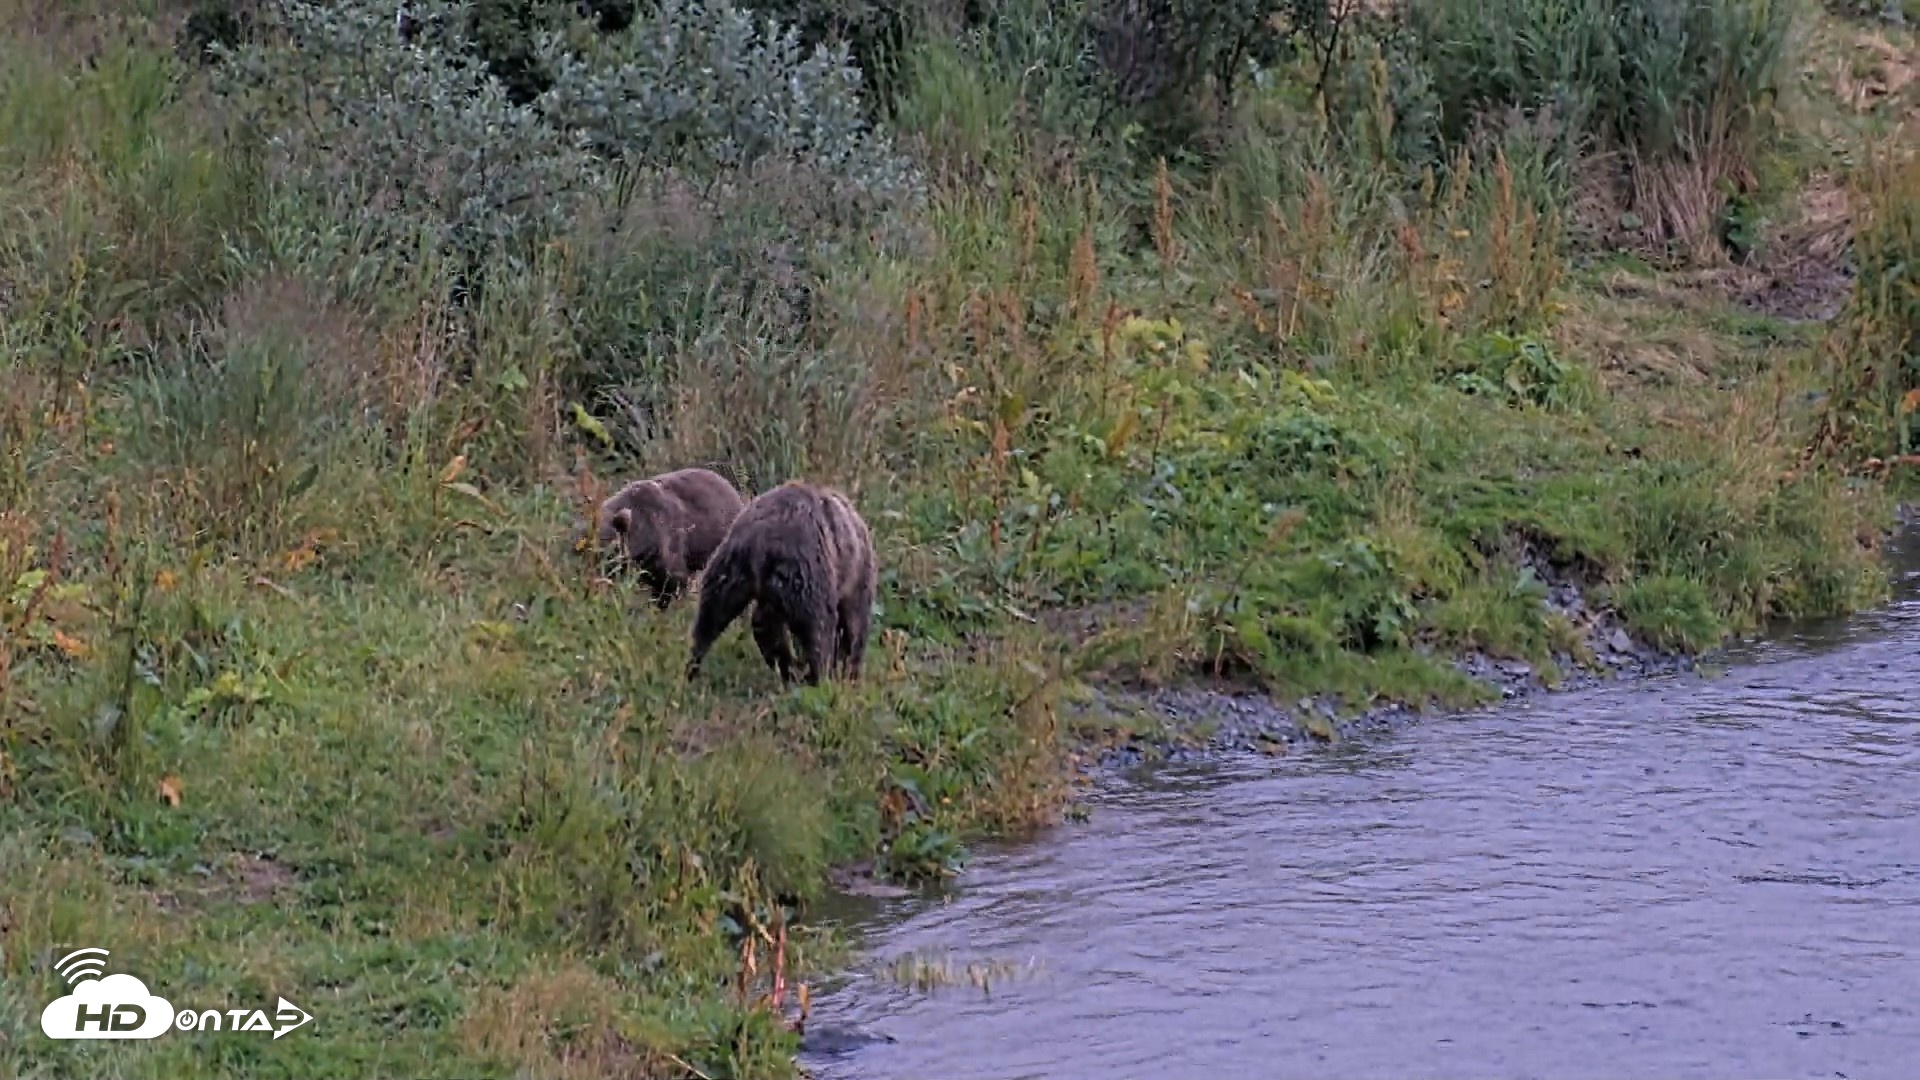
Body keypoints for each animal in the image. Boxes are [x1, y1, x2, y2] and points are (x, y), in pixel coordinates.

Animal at [684, 481, 878, 687]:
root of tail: (760, 542)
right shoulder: (855, 580)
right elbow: (853, 626)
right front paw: (847, 672)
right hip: (803, 571)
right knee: (817, 629)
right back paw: (817, 676)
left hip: (730, 566)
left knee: (711, 618)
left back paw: (692, 668)